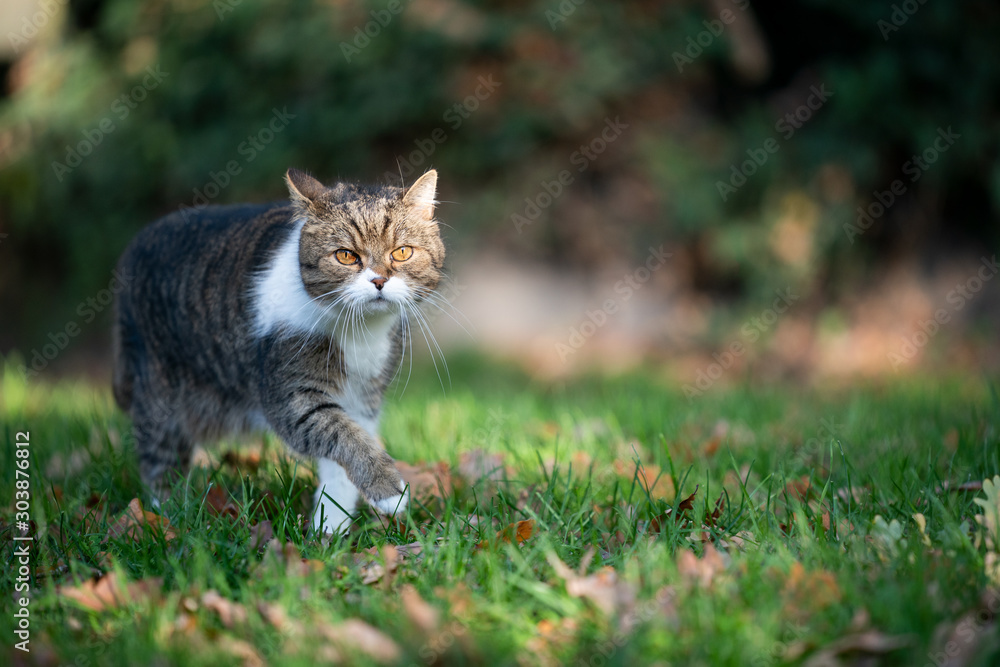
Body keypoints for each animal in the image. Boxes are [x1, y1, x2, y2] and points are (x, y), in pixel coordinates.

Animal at [109, 168, 446, 536]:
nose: (379, 281)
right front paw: (389, 491)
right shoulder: (290, 398)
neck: (359, 332)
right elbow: (346, 437)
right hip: (159, 395)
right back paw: (162, 520)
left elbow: (344, 458)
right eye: (346, 256)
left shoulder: (363, 398)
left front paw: (331, 528)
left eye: (402, 252)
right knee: (159, 463)